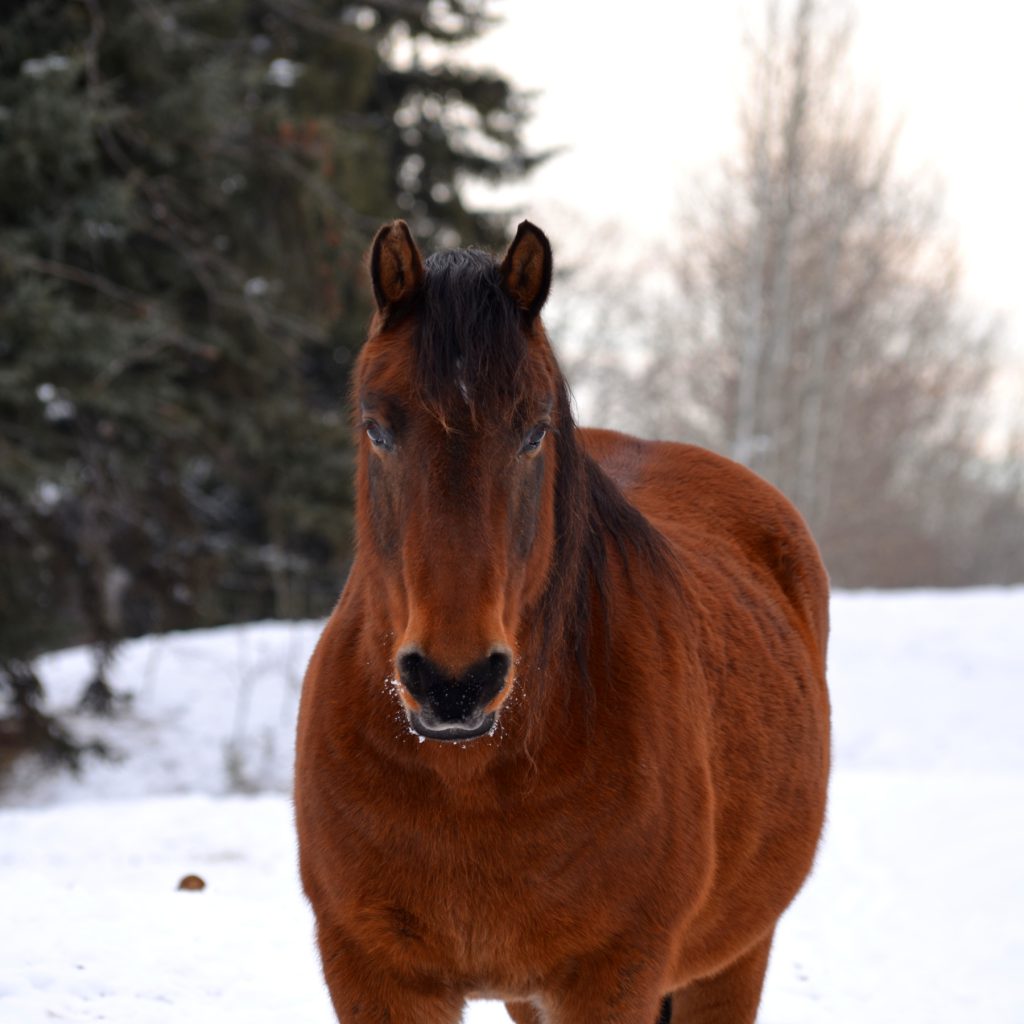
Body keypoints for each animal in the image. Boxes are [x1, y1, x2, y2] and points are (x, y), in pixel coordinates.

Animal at [292, 222, 827, 1024]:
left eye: (534, 430)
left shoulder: (613, 979)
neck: (468, 780)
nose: (454, 683)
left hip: (731, 961)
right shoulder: (373, 975)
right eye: (376, 427)